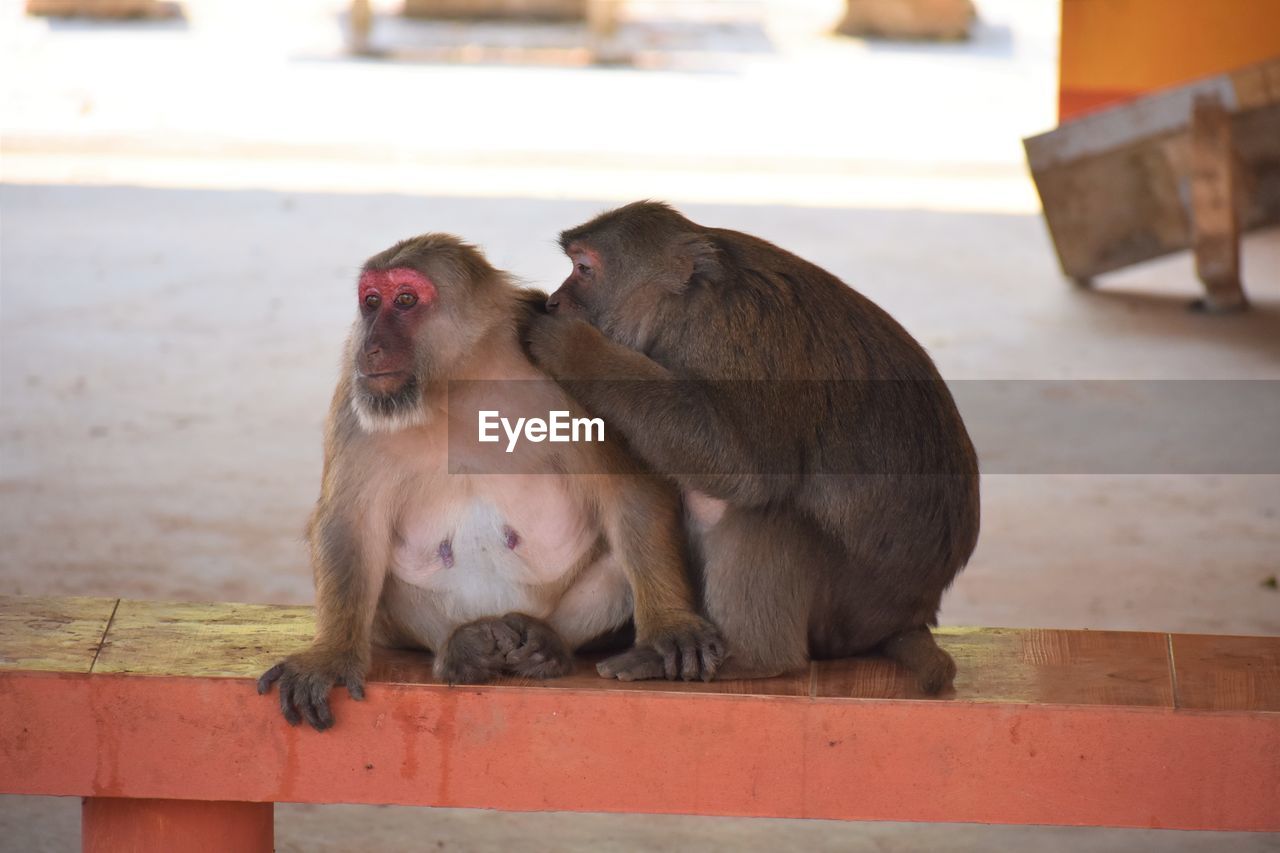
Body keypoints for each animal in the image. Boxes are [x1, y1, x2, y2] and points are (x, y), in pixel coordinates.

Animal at [258, 230, 721, 722]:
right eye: (371, 301)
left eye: (405, 300)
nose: (370, 346)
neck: (458, 384)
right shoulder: (356, 395)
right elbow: (349, 521)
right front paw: (329, 656)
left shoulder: (572, 376)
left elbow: (628, 491)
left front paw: (670, 624)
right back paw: (463, 647)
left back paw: (546, 645)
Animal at [527, 201, 977, 691]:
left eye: (583, 269)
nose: (553, 301)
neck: (685, 307)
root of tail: (912, 614)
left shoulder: (737, 337)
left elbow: (746, 469)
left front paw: (573, 347)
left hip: (848, 613)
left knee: (756, 507)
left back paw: (752, 660)